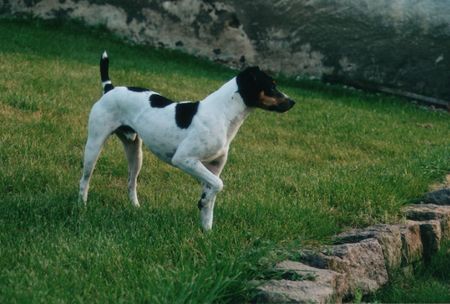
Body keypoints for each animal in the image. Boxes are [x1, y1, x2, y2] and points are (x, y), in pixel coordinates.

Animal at [79, 51, 296, 229]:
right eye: (271, 86)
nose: (293, 102)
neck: (222, 114)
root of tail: (110, 88)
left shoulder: (213, 167)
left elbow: (212, 196)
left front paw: (206, 229)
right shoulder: (185, 159)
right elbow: (219, 185)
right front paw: (204, 204)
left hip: (135, 153)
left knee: (131, 182)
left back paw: (135, 207)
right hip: (94, 146)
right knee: (85, 180)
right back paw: (82, 206)